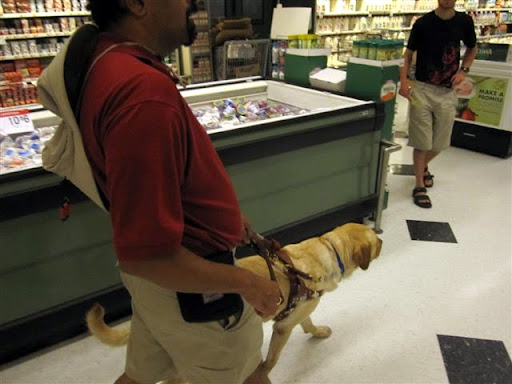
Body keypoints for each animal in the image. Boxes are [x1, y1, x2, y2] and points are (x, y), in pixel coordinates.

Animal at [88, 222, 382, 376]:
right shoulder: (282, 327)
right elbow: (271, 360)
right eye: (375, 242)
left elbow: (308, 323)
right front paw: (263, 372)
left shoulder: (295, 314)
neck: (330, 251)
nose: (382, 238)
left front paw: (318, 332)